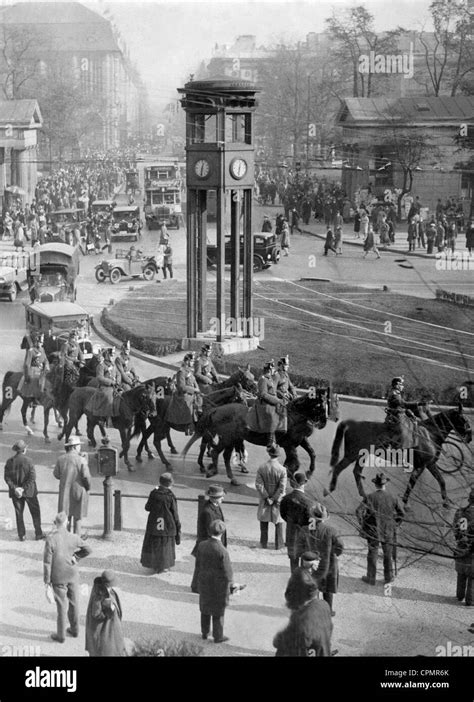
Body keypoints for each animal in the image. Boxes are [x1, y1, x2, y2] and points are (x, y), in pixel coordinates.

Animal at [181, 390, 330, 484]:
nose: (323, 423)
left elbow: (312, 453)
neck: (294, 415)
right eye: (321, 405)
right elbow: (296, 462)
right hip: (228, 438)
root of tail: (217, 409)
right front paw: (291, 475)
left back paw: (229, 476)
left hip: (230, 439)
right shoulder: (289, 444)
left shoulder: (300, 440)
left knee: (222, 454)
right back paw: (213, 470)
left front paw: (309, 471)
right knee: (215, 451)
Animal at [328, 402, 472, 506]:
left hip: (361, 455)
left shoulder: (430, 464)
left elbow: (441, 481)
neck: (430, 434)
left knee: (356, 471)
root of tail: (352, 424)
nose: (470, 437)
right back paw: (330, 489)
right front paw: (405, 501)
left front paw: (446, 501)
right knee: (339, 468)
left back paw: (363, 495)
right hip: (351, 454)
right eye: (464, 419)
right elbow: (411, 483)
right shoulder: (420, 466)